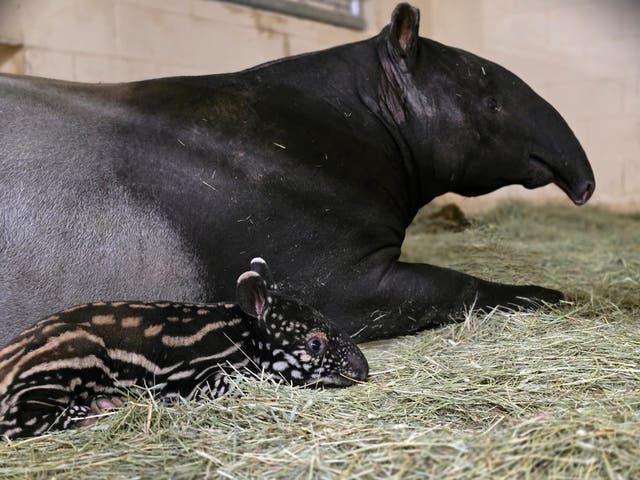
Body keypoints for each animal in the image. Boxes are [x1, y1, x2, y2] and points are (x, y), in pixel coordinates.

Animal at [0, 258, 368, 438]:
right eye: (315, 343)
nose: (363, 370)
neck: (239, 334)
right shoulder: (204, 377)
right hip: (66, 360)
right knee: (18, 420)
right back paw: (96, 410)